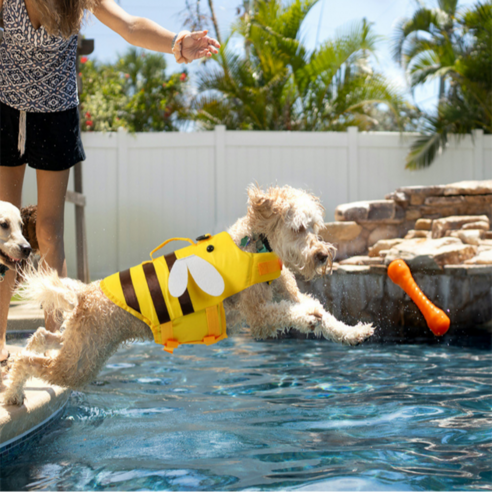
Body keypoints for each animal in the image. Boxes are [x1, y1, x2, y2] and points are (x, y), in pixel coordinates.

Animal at [2, 184, 372, 404]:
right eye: (298, 229)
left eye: (316, 228)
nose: (323, 254)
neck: (258, 246)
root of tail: (85, 292)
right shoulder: (259, 316)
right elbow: (288, 313)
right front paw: (309, 320)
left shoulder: (291, 295)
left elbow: (323, 314)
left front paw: (353, 332)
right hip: (82, 362)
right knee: (28, 360)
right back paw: (13, 390)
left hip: (83, 346)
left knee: (42, 335)